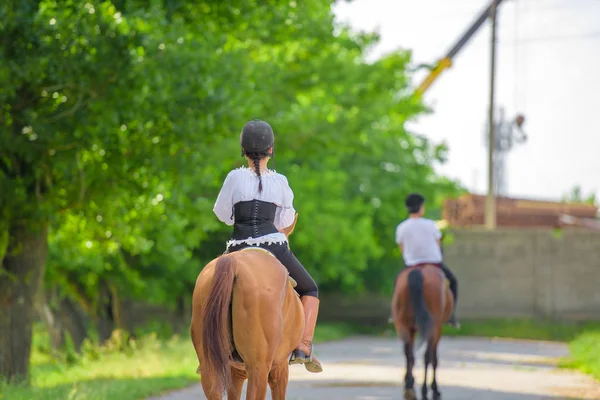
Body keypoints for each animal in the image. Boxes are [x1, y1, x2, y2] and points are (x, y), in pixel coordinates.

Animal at [392, 264, 452, 400]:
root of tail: (418, 271)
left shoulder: (412, 329)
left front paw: (409, 380)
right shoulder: (438, 329)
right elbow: (434, 359)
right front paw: (434, 389)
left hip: (403, 324)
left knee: (408, 353)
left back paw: (409, 389)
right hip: (432, 328)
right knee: (427, 357)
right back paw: (424, 391)